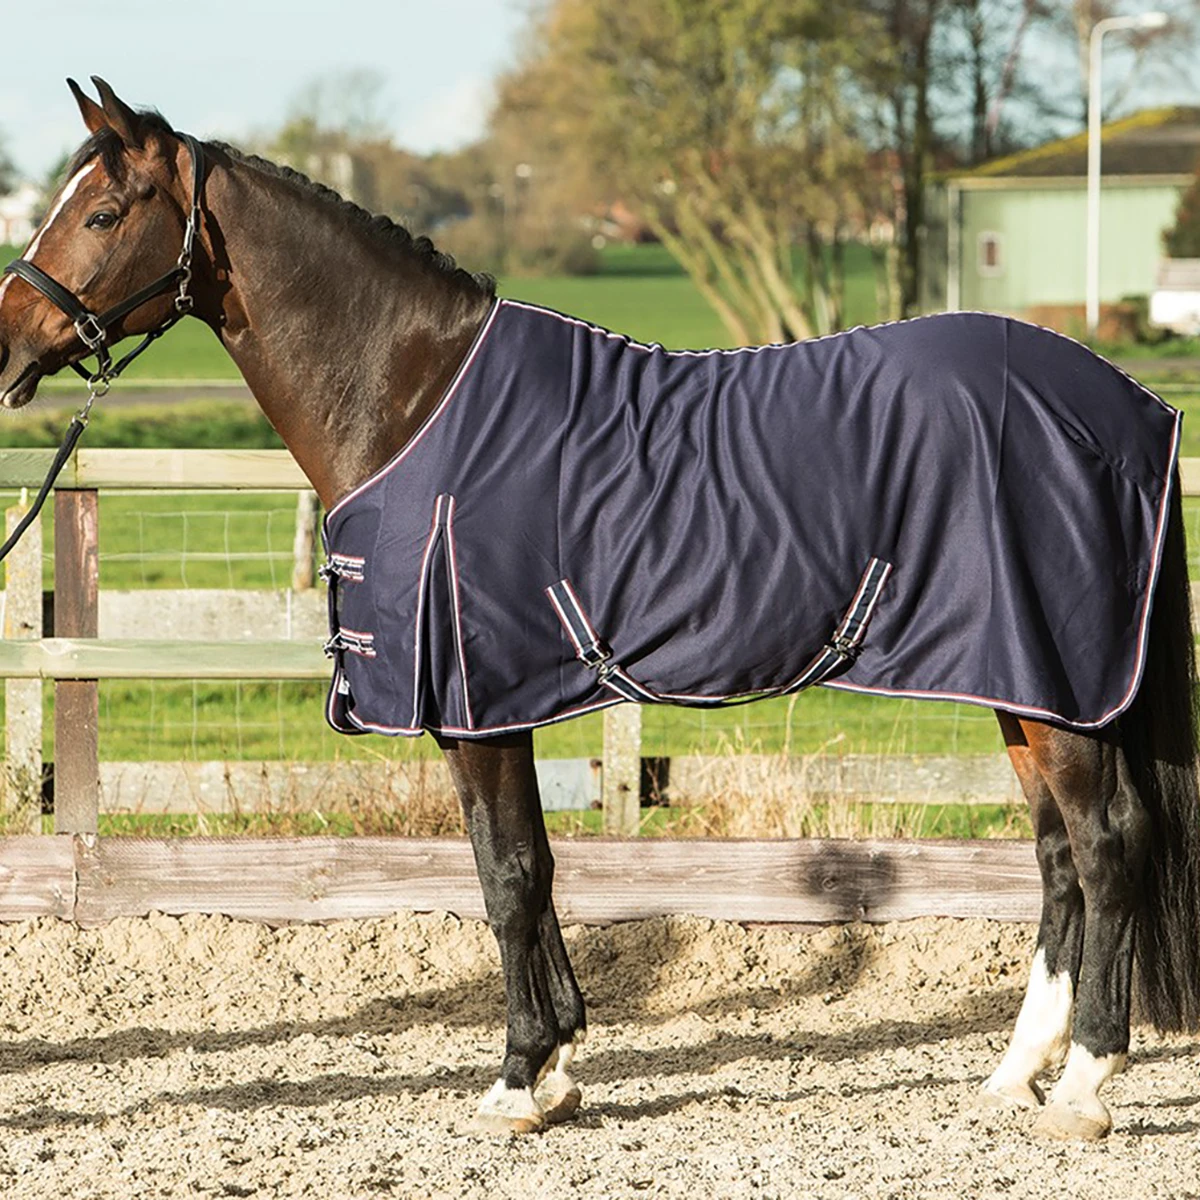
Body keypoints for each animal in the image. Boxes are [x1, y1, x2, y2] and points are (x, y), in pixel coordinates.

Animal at [1, 78, 1198, 1142]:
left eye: (102, 212)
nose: (8, 341)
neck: (416, 396)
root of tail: (1130, 406)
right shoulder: (499, 700)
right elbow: (533, 865)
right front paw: (561, 1065)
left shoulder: (475, 701)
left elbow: (507, 874)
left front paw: (519, 1081)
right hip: (1024, 685)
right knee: (1057, 860)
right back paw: (1014, 1076)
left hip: (1058, 692)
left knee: (1105, 848)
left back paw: (1084, 1087)